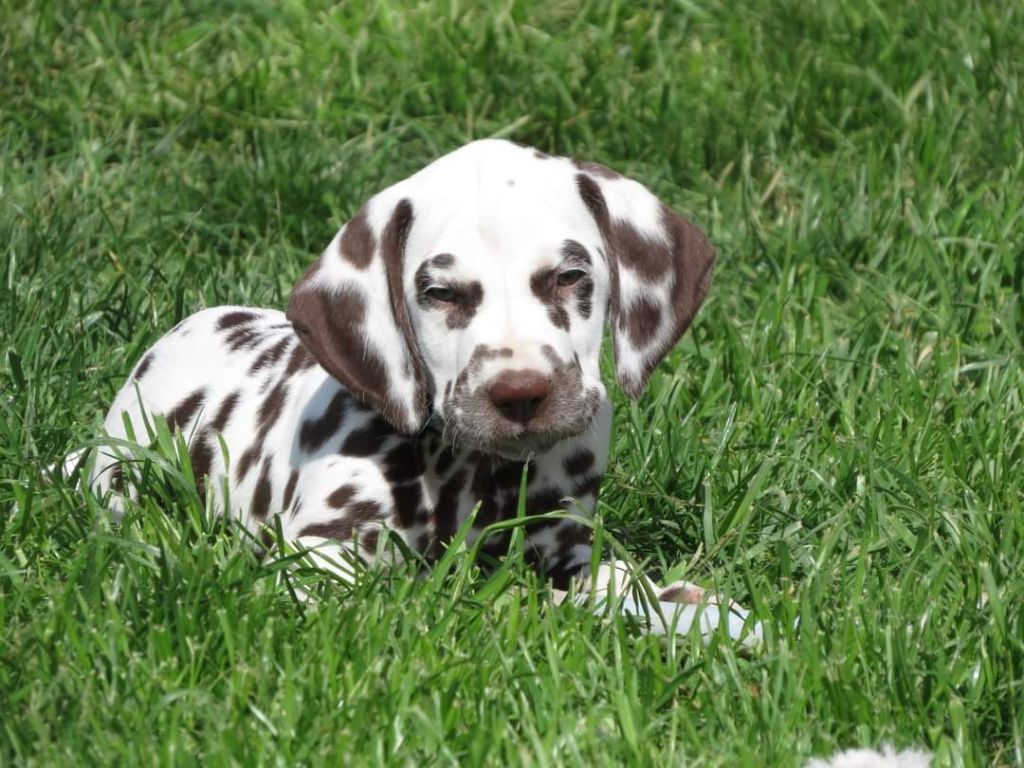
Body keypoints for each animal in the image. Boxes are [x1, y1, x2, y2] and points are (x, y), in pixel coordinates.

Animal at [71, 139, 754, 639]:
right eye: (441, 293)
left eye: (568, 276)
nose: (520, 393)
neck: (472, 475)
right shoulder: (319, 564)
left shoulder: (565, 548)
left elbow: (620, 580)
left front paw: (691, 607)